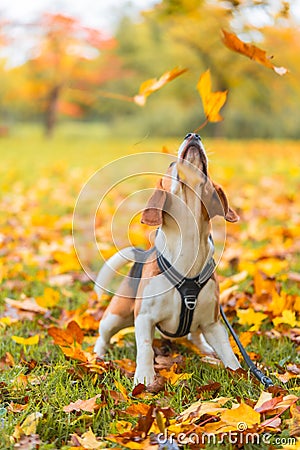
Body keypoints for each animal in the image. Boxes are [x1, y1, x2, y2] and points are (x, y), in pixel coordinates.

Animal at [95, 133, 240, 384]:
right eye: (171, 164)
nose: (193, 135)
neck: (188, 244)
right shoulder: (144, 317)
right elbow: (145, 348)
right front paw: (144, 378)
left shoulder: (212, 323)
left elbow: (227, 350)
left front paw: (241, 374)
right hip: (115, 315)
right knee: (103, 336)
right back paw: (96, 357)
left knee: (195, 335)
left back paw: (204, 348)